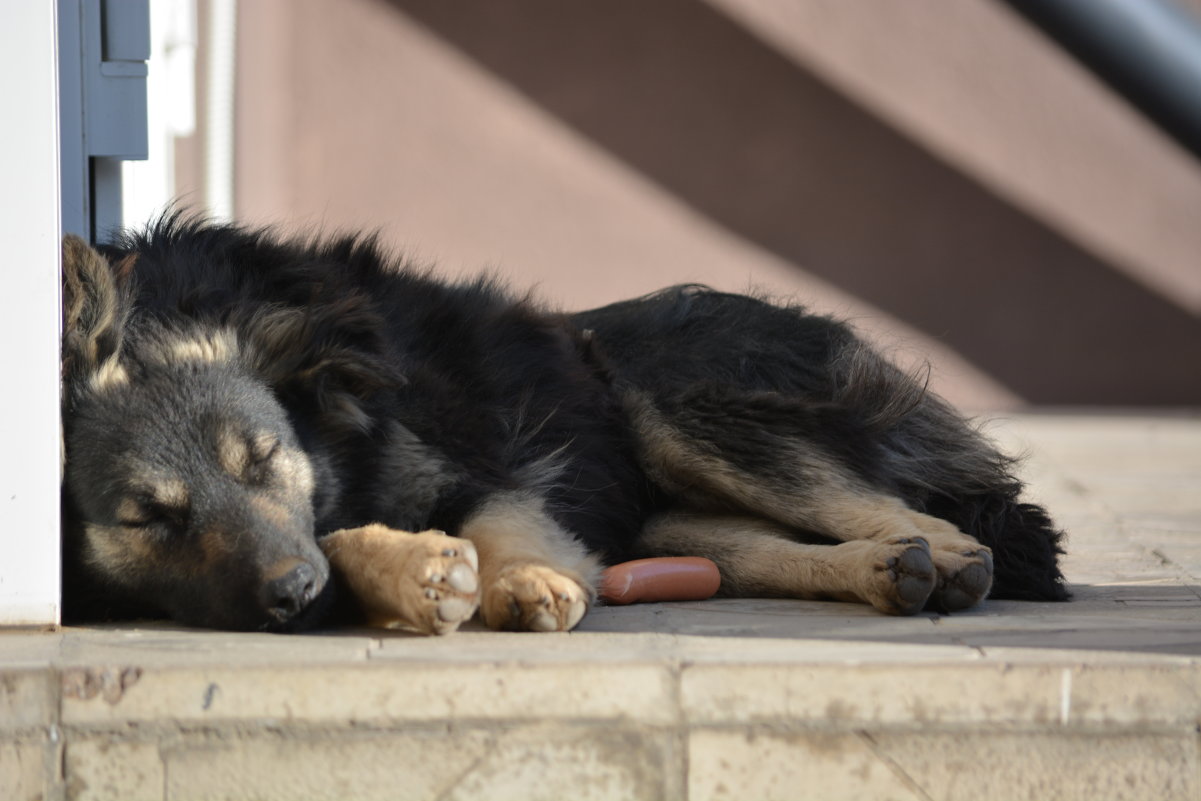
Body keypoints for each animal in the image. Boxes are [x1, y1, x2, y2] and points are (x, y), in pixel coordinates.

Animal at [58, 217, 1071, 634]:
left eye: (265, 459)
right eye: (147, 518)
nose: (294, 597)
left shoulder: (485, 463)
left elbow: (496, 523)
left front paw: (522, 581)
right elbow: (347, 538)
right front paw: (419, 576)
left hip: (672, 396)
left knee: (900, 505)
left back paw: (946, 554)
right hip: (671, 518)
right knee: (772, 547)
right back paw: (885, 571)